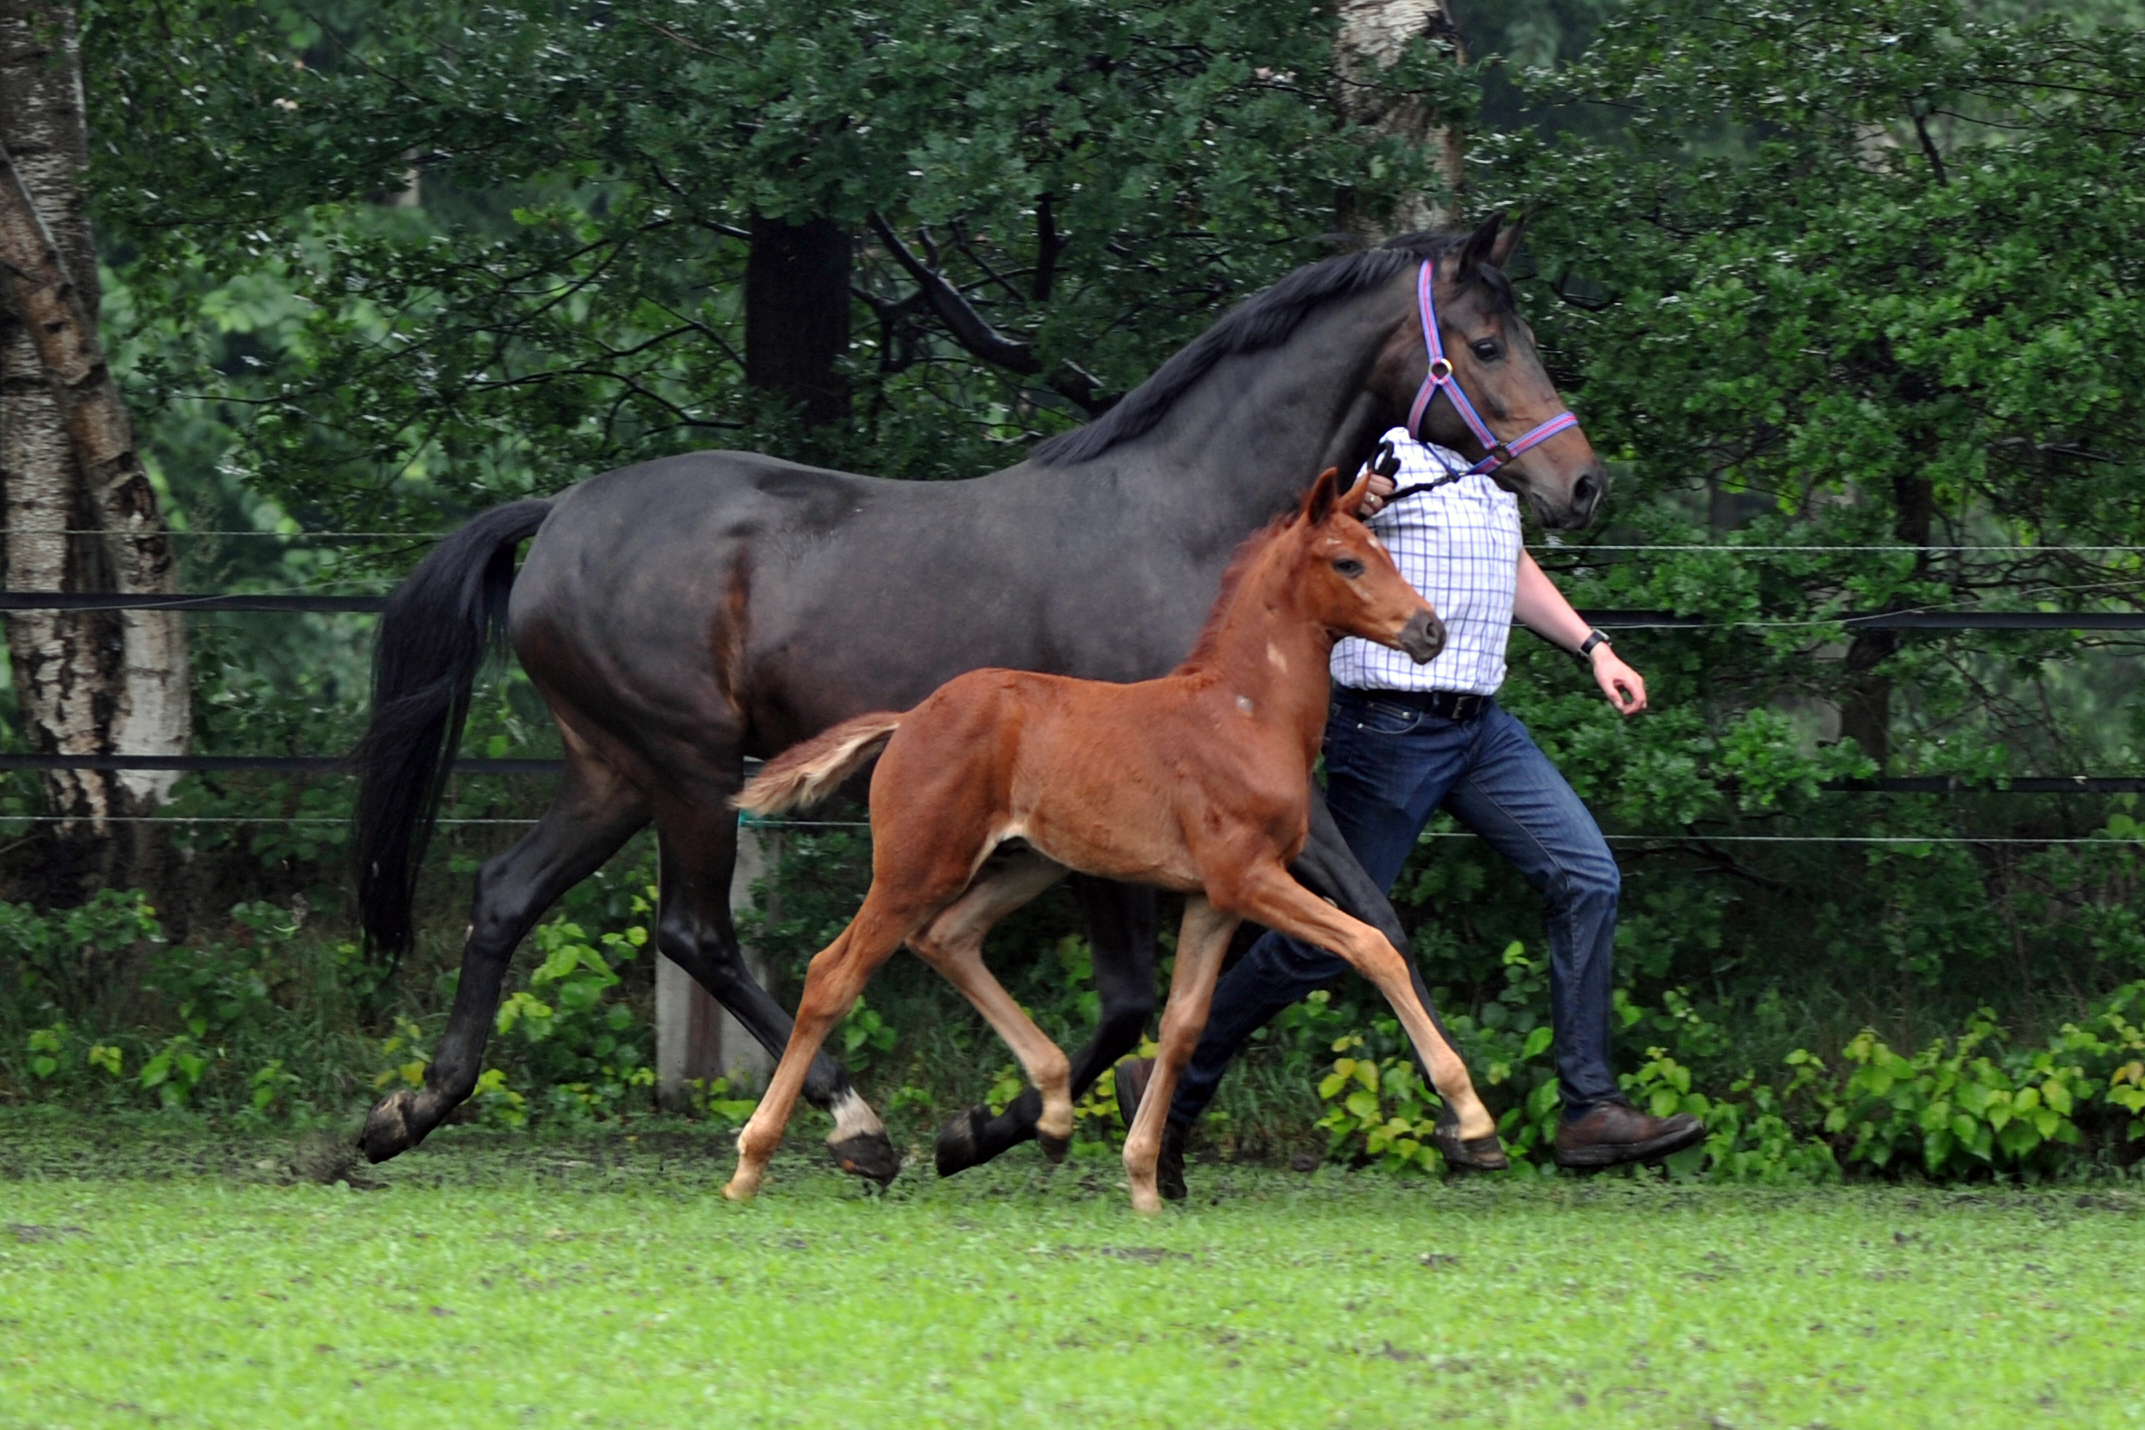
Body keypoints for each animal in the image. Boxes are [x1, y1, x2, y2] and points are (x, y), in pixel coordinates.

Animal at [729, 467, 1501, 1209]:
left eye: (1386, 552)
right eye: (1347, 562)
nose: (1430, 632)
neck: (1246, 713)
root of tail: (909, 717)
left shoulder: (1213, 900)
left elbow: (1184, 1024)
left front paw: (1143, 1180)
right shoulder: (1248, 878)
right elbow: (1372, 947)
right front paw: (1470, 1118)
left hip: (1025, 864)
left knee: (947, 938)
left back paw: (1051, 1114)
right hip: (915, 868)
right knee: (833, 975)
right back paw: (757, 1163)